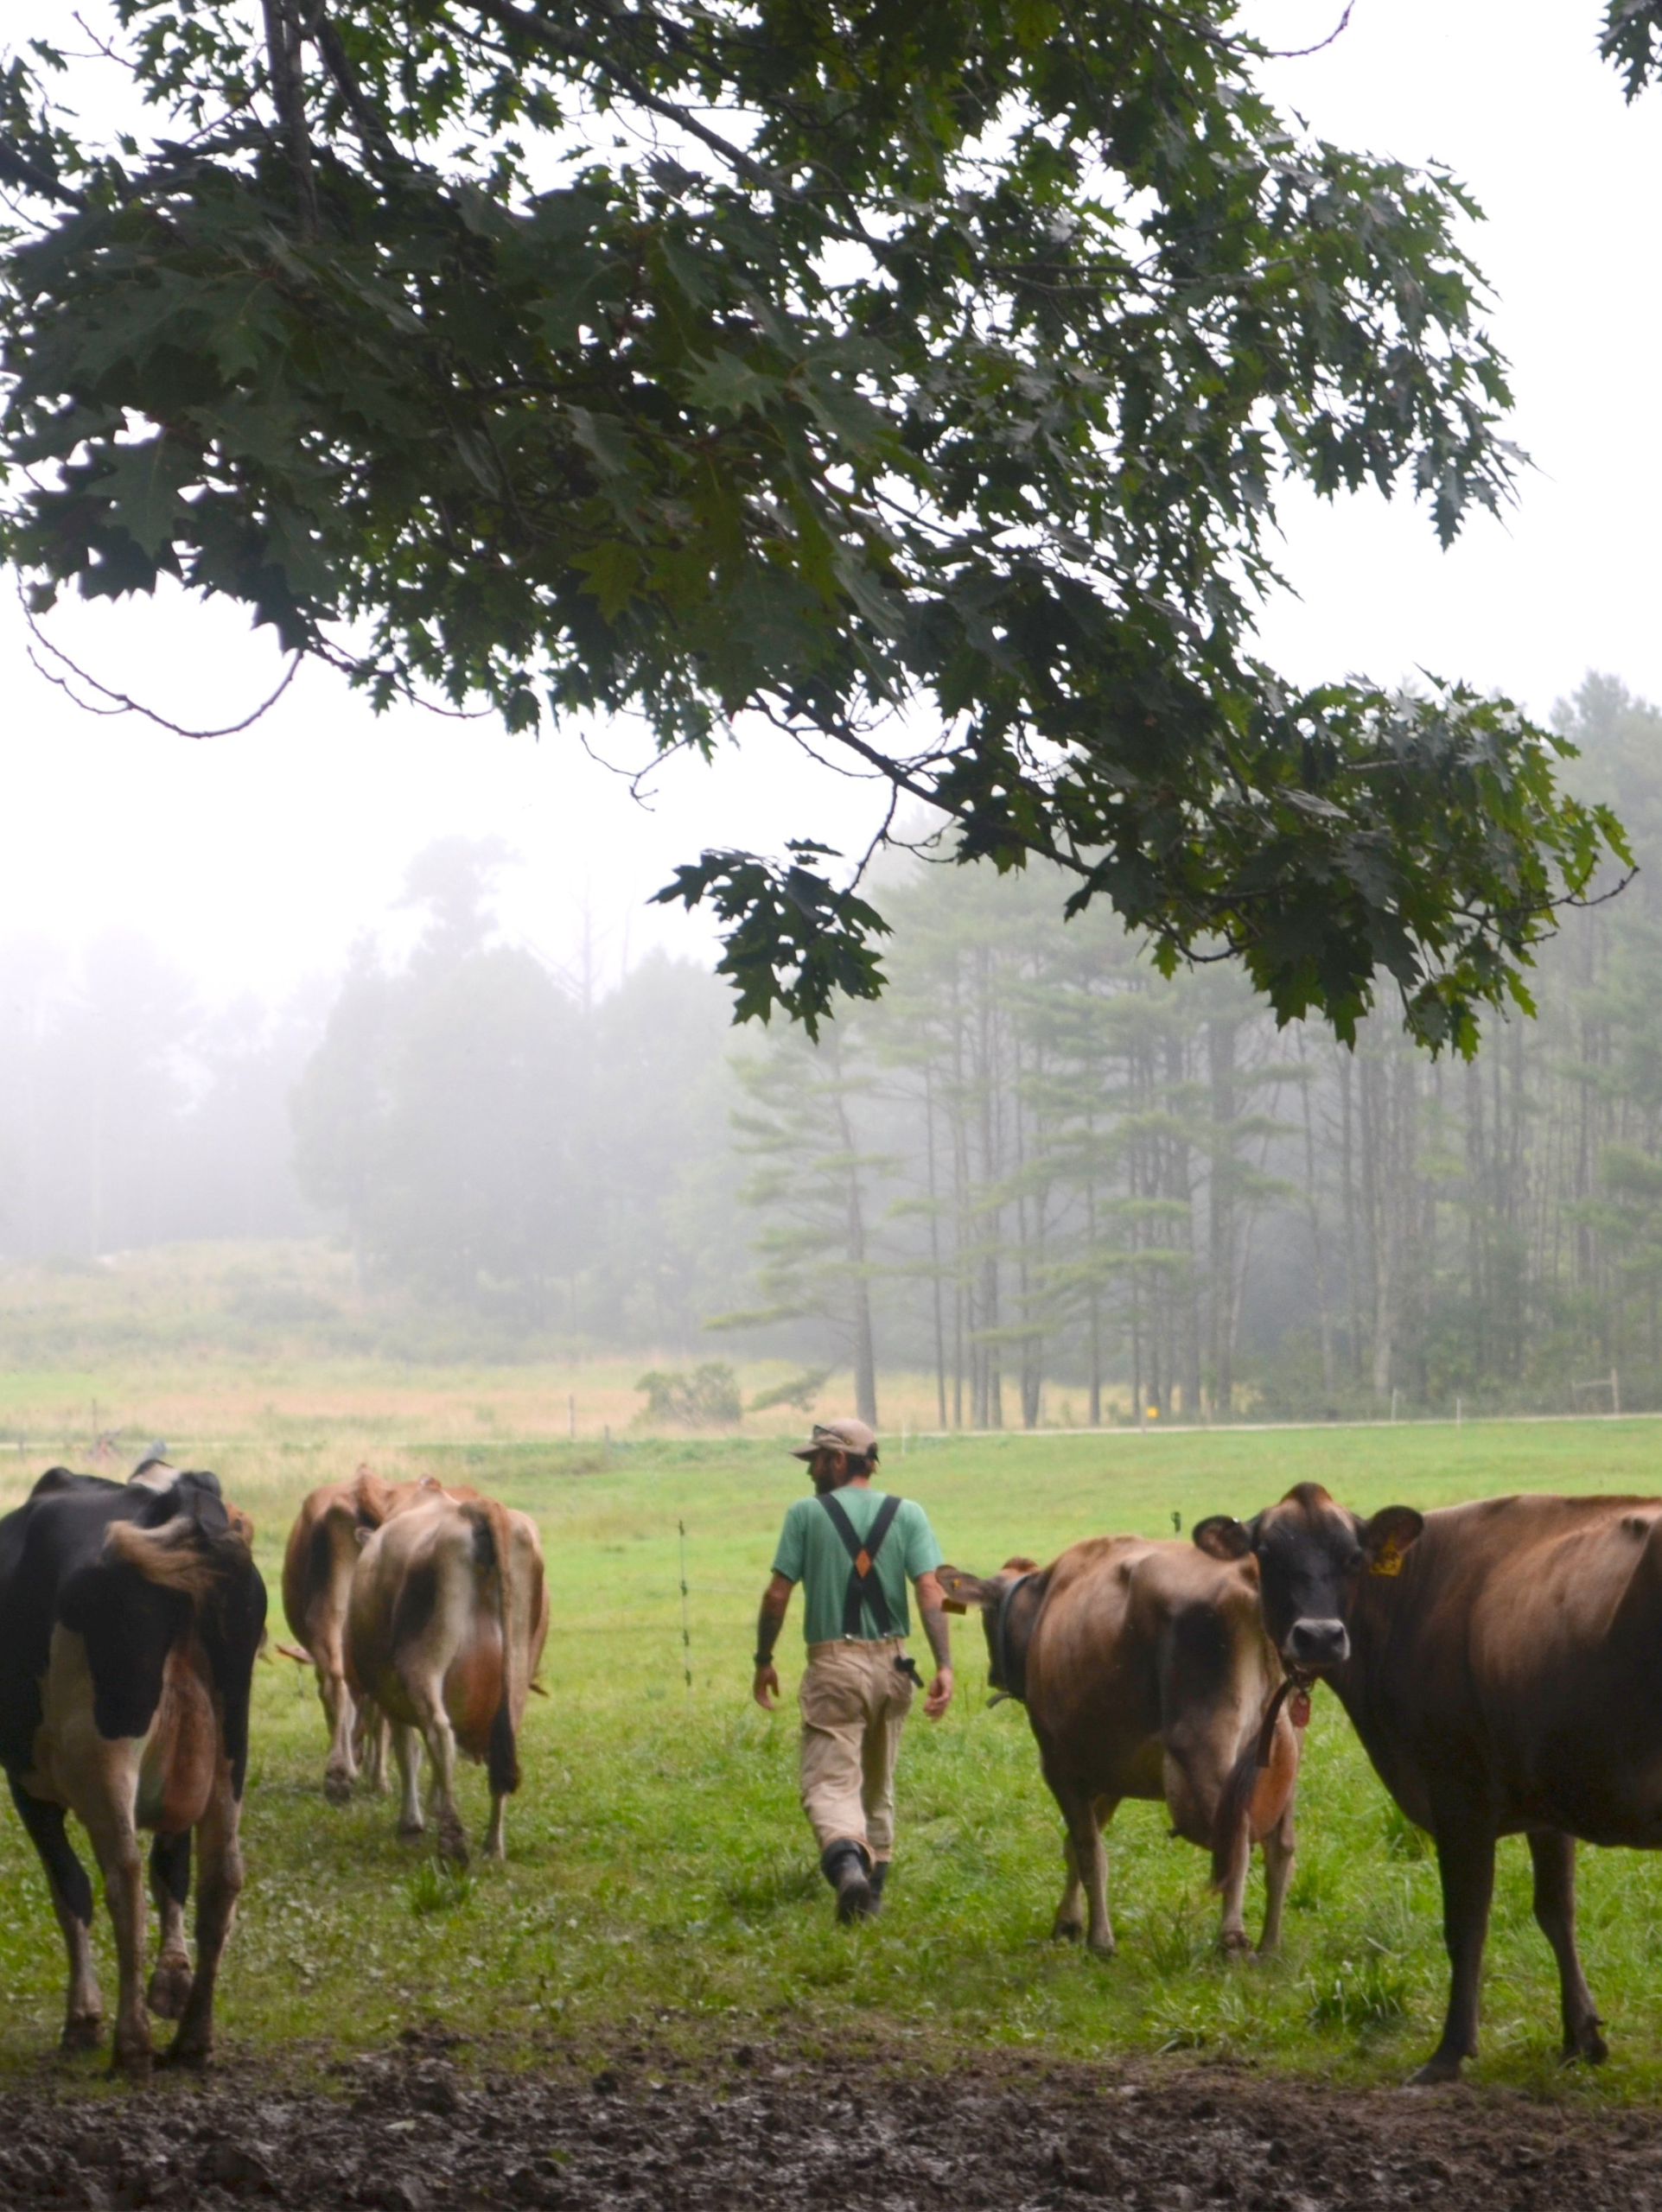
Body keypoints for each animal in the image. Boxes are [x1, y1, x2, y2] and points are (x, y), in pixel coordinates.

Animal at [1, 1468, 266, 2070]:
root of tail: (184, 1503)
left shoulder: (26, 1781)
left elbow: (70, 1888)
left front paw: (83, 2017)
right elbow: (175, 1870)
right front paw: (171, 1980)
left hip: (104, 1750)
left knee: (123, 1876)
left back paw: (131, 2041)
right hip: (229, 1746)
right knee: (221, 1876)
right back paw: (193, 2036)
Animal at [347, 1486, 549, 1866]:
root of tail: (476, 1509)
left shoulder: (392, 1694)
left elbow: (408, 1751)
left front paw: (413, 1820)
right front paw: (434, 1803)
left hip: (422, 1660)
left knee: (439, 1732)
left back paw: (453, 1842)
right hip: (518, 1665)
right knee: (500, 1744)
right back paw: (492, 1845)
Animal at [938, 1539, 1301, 1955]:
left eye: (986, 1615)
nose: (993, 1674)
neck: (1042, 1603)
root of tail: (1246, 1571)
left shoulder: (1059, 1765)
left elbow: (1089, 1852)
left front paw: (1099, 1939)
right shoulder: (1109, 1771)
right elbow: (1076, 1847)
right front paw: (1069, 1921)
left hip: (1204, 1751)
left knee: (1235, 1839)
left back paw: (1233, 1938)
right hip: (1282, 1752)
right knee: (1281, 1847)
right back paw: (1270, 1946)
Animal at [1194, 1478, 1662, 2079]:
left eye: (1354, 1558)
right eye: (1268, 1555)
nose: (1320, 1637)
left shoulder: (1457, 1794)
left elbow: (1465, 1923)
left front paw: (1449, 2052)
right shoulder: (1548, 1798)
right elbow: (1556, 1912)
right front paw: (1580, 2038)